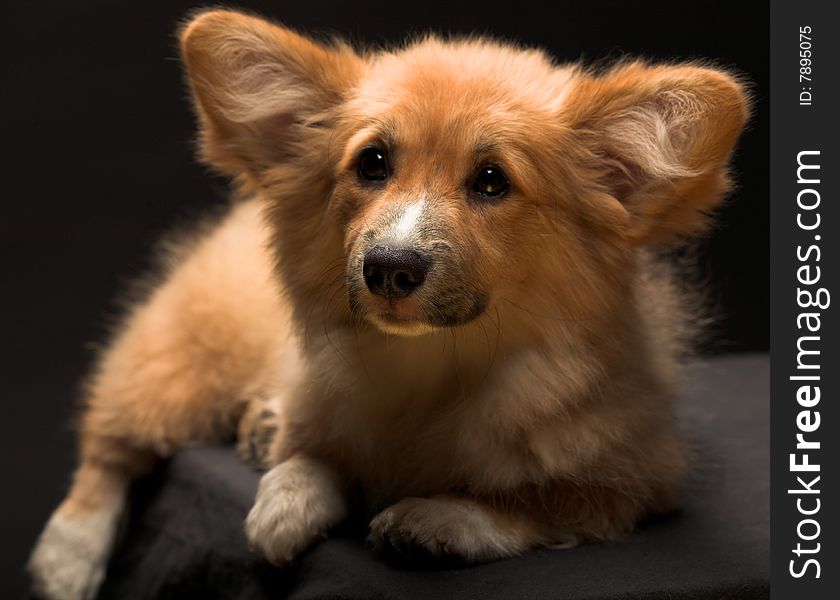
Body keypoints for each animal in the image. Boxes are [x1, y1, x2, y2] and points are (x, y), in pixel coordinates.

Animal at [27, 9, 748, 600]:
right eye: (372, 164)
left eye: (493, 181)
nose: (389, 268)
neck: (430, 366)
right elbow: (312, 454)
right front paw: (284, 496)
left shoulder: (635, 484)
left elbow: (538, 503)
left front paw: (437, 518)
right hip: (176, 367)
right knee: (110, 445)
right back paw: (67, 555)